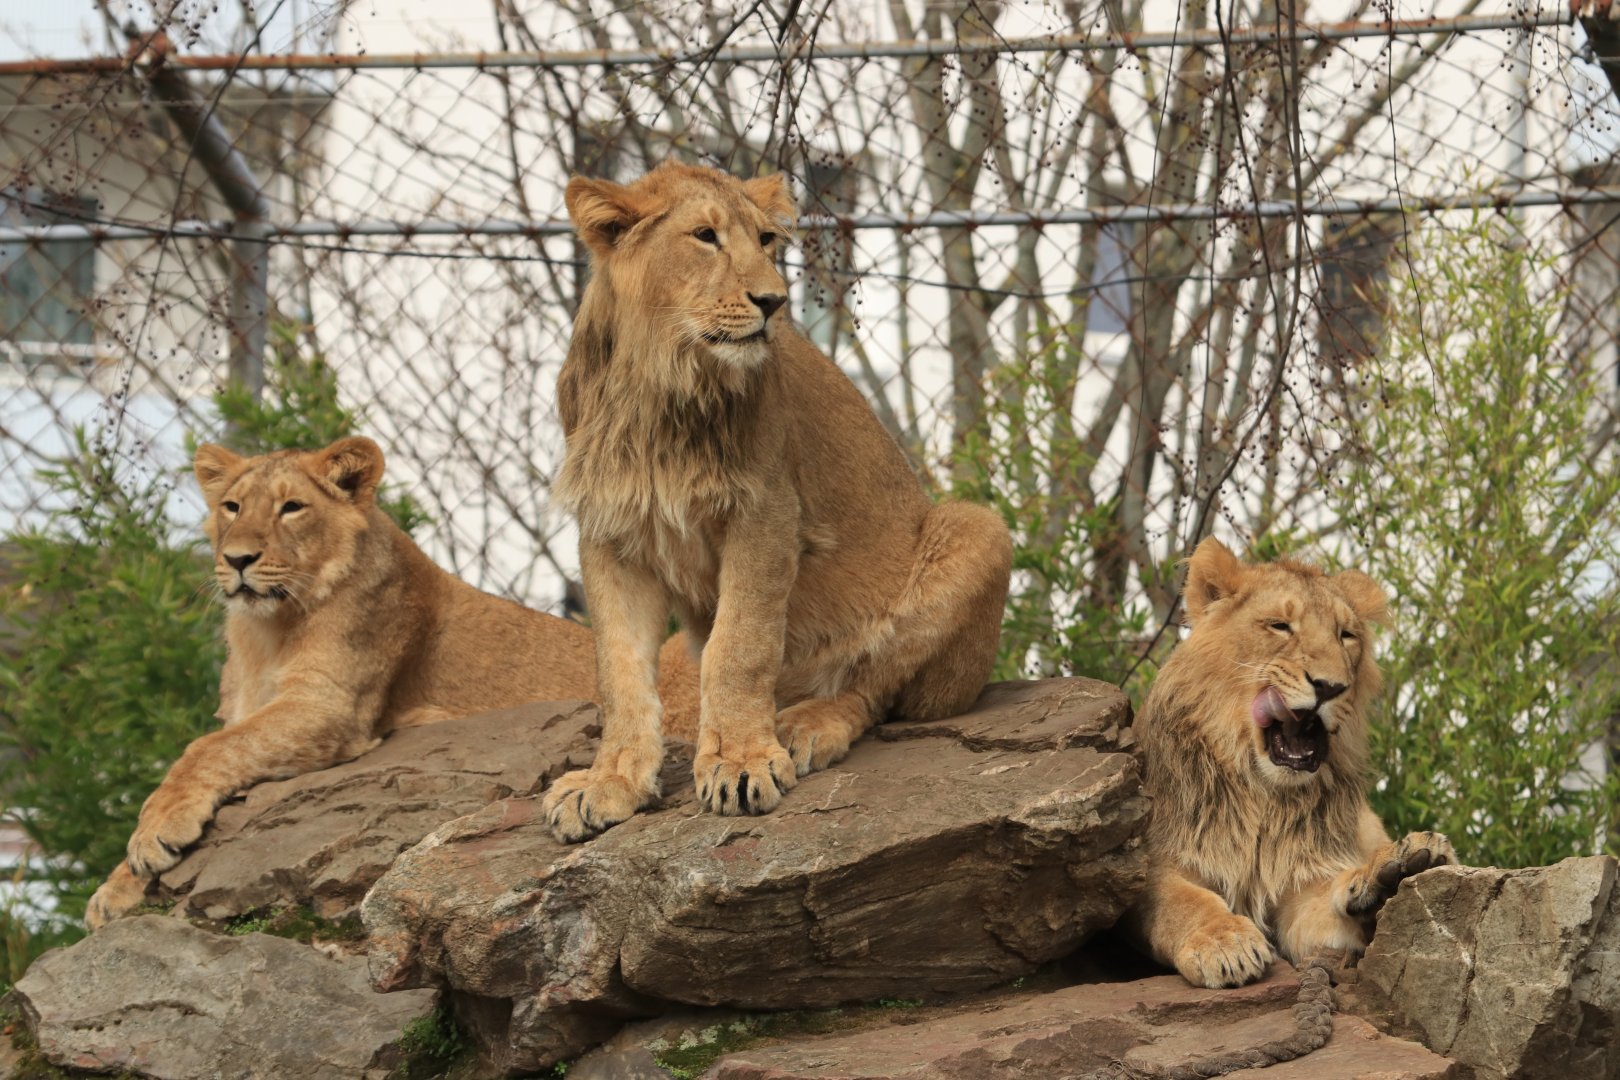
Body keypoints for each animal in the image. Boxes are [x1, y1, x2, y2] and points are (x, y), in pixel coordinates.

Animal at [85, 436, 699, 929]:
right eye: (231, 507)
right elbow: (218, 748)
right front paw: (116, 887)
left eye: (292, 508)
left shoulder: (332, 707)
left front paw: (153, 832)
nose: (237, 559)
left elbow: (205, 749)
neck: (265, 633)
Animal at [538, 161, 1012, 842]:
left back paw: (803, 726)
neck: (660, 384)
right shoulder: (610, 532)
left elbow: (739, 645)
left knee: (874, 691)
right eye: (705, 236)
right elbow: (619, 672)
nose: (775, 302)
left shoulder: (765, 510)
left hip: (976, 529)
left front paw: (741, 761)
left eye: (765, 240)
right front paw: (611, 781)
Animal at [1124, 538, 1454, 989]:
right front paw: (1225, 944)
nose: (1330, 686)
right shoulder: (1152, 862)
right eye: (1280, 625)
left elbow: (1324, 916)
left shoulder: (1300, 883)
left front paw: (1380, 884)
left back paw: (1401, 866)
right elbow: (1182, 901)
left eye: (1346, 635)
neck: (1262, 793)